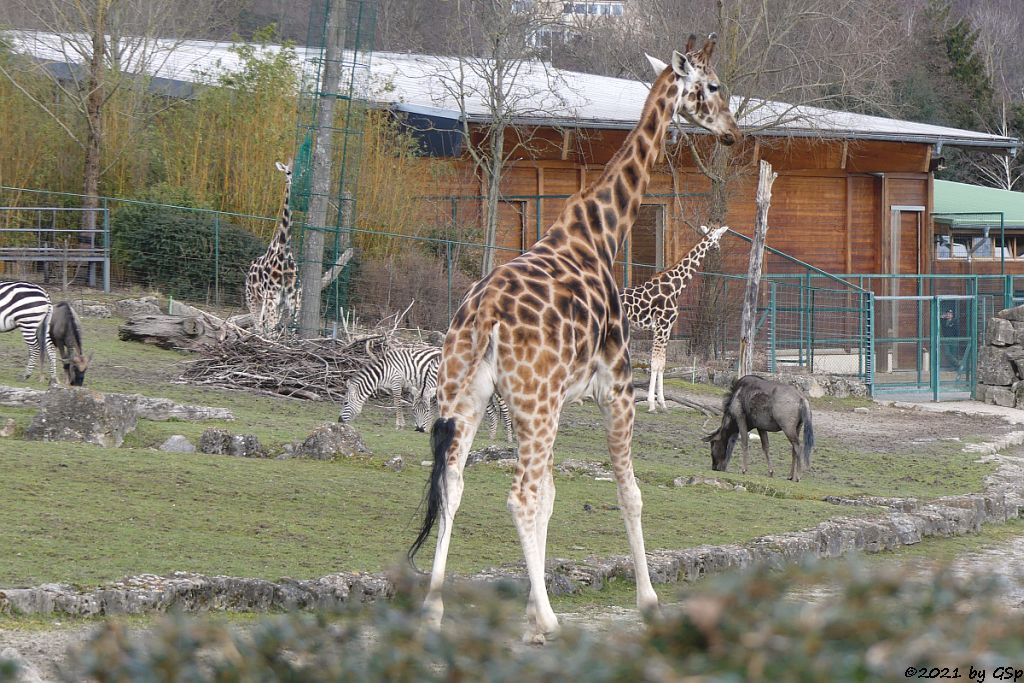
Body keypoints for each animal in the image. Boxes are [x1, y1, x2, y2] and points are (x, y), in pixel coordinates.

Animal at [243, 160, 299, 335]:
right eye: (287, 172)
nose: (294, 180)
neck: (283, 250)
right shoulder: (271, 296)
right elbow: (270, 327)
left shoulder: (291, 297)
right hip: (253, 297)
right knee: (259, 324)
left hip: (274, 301)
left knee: (266, 324)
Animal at [622, 227, 729, 413]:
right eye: (719, 237)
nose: (717, 249)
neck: (675, 286)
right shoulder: (662, 326)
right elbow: (655, 363)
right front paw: (652, 404)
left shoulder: (666, 328)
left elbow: (662, 364)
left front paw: (662, 403)